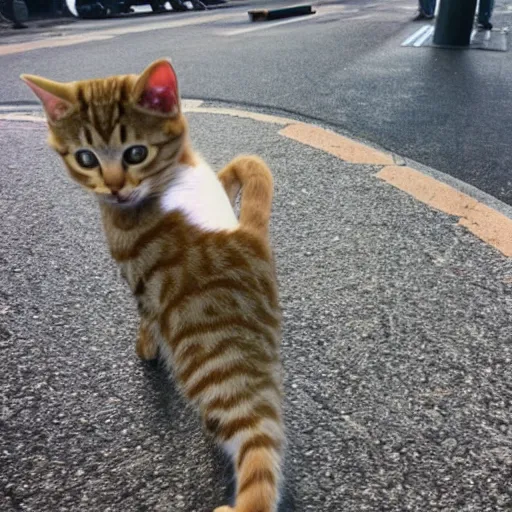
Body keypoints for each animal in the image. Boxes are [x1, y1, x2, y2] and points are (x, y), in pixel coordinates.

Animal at [23, 58, 284, 510]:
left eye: (135, 153)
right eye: (86, 157)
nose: (114, 187)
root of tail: (249, 241)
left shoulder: (140, 282)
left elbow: (146, 315)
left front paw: (146, 346)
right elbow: (237, 168)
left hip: (208, 359)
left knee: (257, 442)